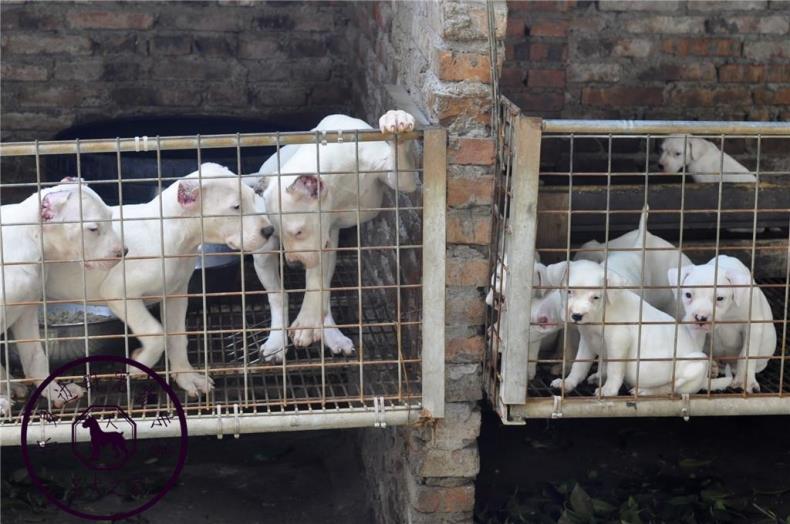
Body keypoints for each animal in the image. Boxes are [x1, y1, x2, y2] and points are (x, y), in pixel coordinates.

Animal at [0, 180, 125, 414]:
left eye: (111, 217)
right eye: (93, 229)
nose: (124, 252)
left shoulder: (25, 311)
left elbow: (36, 358)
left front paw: (55, 392)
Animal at [45, 164, 278, 398]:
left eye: (253, 197)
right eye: (236, 207)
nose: (269, 230)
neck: (170, 233)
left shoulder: (176, 294)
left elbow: (177, 337)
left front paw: (186, 377)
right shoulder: (120, 293)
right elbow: (157, 333)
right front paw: (138, 364)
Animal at [252, 106, 420, 360]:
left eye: (298, 232)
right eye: (282, 232)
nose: (293, 264)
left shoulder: (397, 176)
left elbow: (317, 281)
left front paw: (396, 119)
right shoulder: (319, 238)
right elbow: (313, 281)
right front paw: (306, 323)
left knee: (325, 291)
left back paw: (330, 333)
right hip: (264, 252)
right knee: (280, 295)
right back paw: (277, 342)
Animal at [552, 260, 712, 396]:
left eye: (596, 297)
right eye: (569, 291)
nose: (577, 316)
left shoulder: (619, 340)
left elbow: (615, 369)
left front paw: (608, 390)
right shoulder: (587, 341)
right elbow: (579, 365)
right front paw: (567, 383)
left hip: (698, 362)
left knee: (672, 386)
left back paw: (644, 391)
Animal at [668, 254, 780, 392]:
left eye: (720, 298)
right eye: (688, 295)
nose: (700, 317)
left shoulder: (753, 325)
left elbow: (746, 354)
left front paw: (745, 380)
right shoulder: (696, 330)